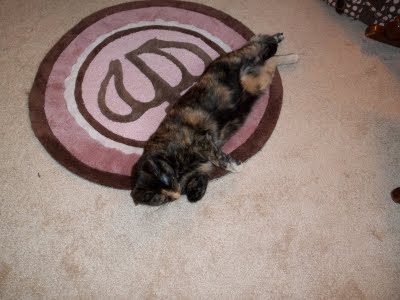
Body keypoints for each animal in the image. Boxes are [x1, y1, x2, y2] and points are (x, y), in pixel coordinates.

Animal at [131, 33, 296, 206]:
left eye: (166, 178)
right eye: (161, 199)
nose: (176, 193)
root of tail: (248, 68)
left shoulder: (201, 140)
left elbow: (217, 157)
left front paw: (235, 166)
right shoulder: (199, 169)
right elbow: (195, 191)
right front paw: (197, 191)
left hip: (241, 59)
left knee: (255, 44)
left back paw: (279, 39)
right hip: (257, 81)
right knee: (271, 60)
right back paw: (291, 56)